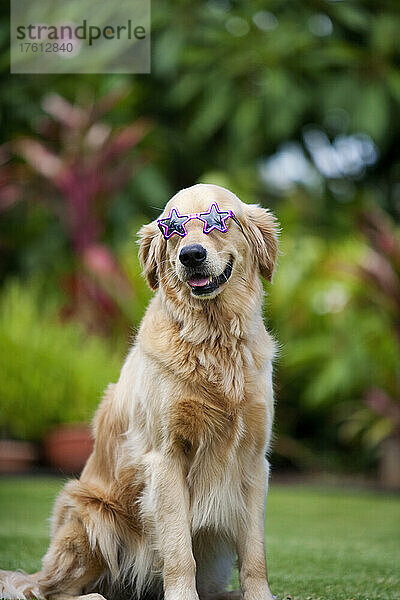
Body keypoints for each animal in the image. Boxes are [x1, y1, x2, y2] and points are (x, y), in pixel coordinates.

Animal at [0, 183, 280, 600]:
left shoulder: (254, 461)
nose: (191, 255)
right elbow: (178, 548)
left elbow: (255, 551)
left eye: (217, 221)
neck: (212, 340)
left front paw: (259, 595)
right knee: (50, 590)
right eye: (173, 230)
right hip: (92, 514)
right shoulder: (165, 458)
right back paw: (94, 595)